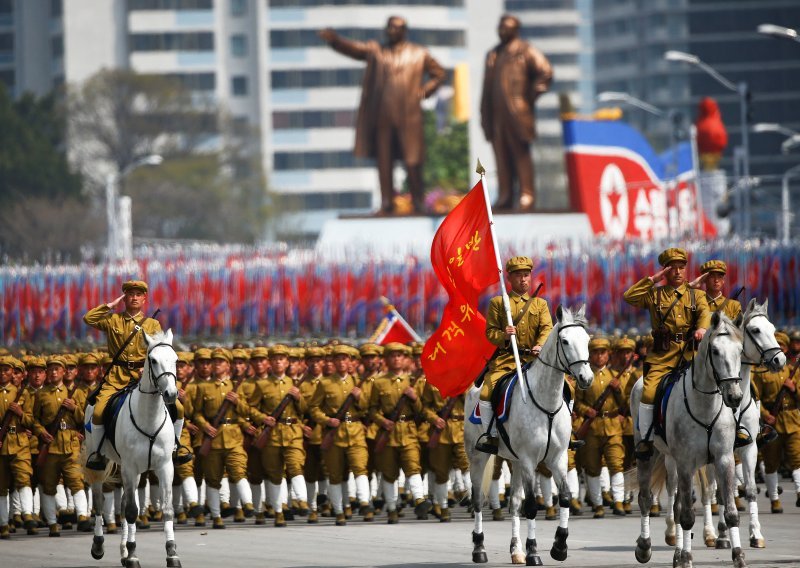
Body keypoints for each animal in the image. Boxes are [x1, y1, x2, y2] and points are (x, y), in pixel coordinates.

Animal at [86, 330, 183, 564]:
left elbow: (167, 509)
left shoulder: (164, 466)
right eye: (153, 360)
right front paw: (132, 555)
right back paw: (99, 545)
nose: (171, 394)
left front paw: (171, 552)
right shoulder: (130, 467)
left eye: (176, 359)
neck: (149, 416)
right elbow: (131, 511)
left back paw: (123, 549)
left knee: (121, 503)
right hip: (102, 464)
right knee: (99, 503)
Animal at [466, 304, 592, 564]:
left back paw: (516, 550)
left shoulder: (557, 458)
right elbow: (532, 505)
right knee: (477, 500)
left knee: (514, 503)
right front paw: (534, 551)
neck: (547, 403)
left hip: (513, 460)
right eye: (565, 341)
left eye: (587, 339)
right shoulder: (528, 460)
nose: (587, 378)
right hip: (478, 456)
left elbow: (565, 496)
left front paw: (559, 546)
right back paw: (479, 548)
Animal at [632, 312, 752, 568]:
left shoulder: (723, 459)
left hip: (673, 460)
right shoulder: (686, 462)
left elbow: (730, 512)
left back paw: (676, 553)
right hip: (650, 454)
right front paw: (687, 558)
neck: (705, 405)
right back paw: (645, 547)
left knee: (676, 505)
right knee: (646, 498)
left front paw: (738, 556)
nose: (735, 396)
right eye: (715, 350)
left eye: (740, 350)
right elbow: (687, 516)